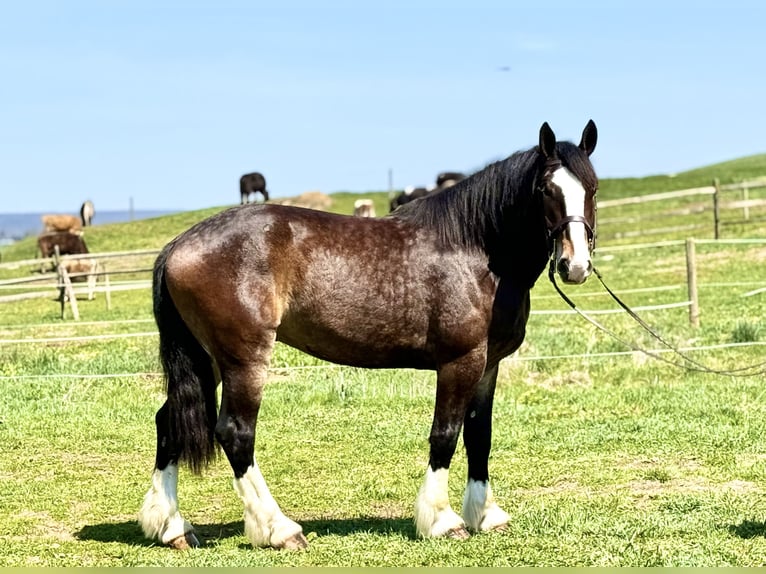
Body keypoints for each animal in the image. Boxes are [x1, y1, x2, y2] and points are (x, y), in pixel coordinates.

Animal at [138, 120, 599, 551]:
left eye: (592, 187)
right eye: (545, 189)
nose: (573, 265)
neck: (474, 251)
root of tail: (178, 246)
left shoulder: (488, 365)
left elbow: (479, 436)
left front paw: (486, 515)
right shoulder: (460, 361)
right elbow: (446, 434)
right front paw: (442, 520)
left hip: (207, 360)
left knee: (168, 422)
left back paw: (173, 528)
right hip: (243, 359)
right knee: (236, 432)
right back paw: (279, 529)